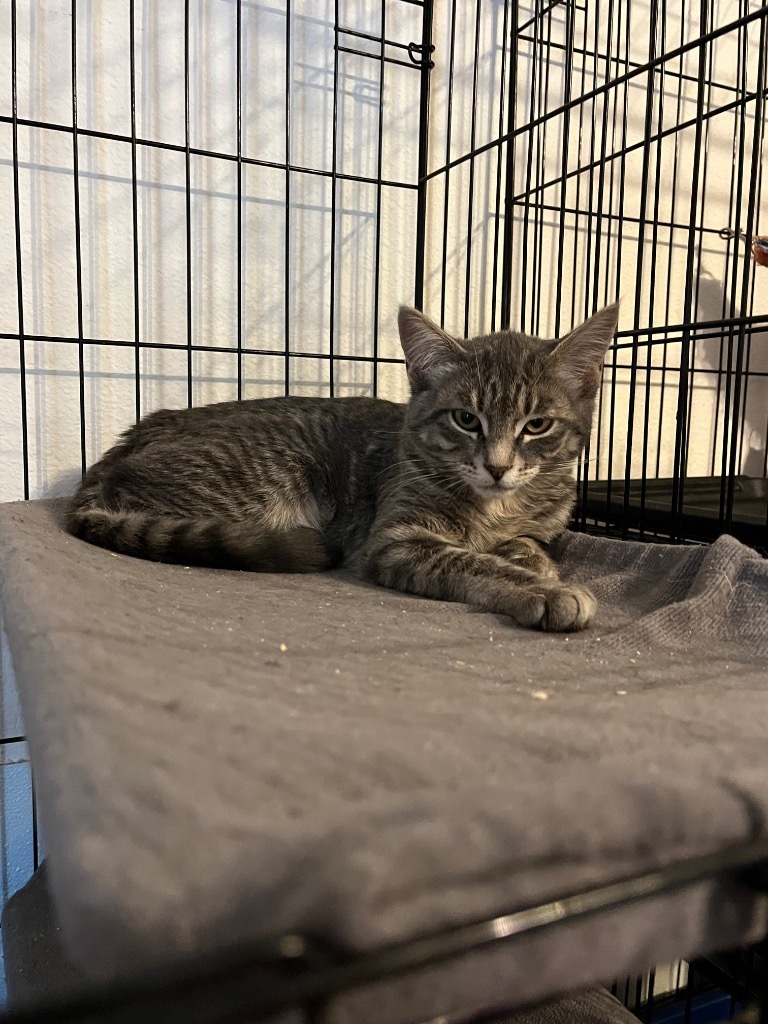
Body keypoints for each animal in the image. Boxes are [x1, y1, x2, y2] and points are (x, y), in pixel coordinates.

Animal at [64, 301, 618, 630]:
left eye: (537, 425)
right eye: (466, 419)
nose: (498, 467)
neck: (495, 508)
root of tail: (112, 457)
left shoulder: (535, 524)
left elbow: (528, 545)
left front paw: (539, 568)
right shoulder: (395, 540)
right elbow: (467, 559)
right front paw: (544, 590)